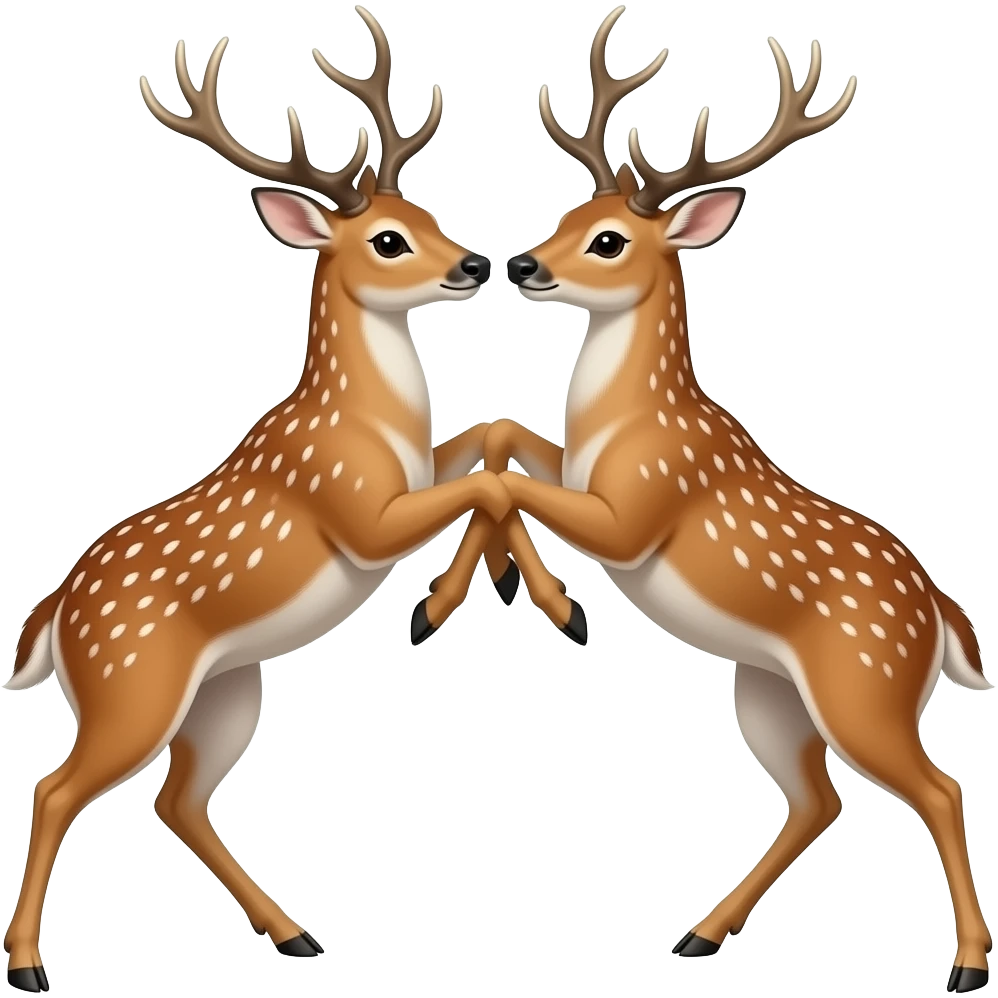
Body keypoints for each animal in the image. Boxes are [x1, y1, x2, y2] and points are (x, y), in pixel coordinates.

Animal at [1, 9, 515, 992]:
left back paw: (295, 933)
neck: (362, 420)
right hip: (131, 685)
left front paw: (494, 584)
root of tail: (55, 615)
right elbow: (485, 475)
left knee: (177, 800)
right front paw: (437, 607)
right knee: (57, 787)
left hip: (227, 690)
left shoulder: (415, 475)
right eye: (387, 240)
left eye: (424, 216)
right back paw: (26, 966)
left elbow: (490, 438)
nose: (477, 263)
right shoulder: (357, 513)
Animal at [422, 9, 993, 993]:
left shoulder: (639, 515)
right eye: (571, 216)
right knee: (818, 800)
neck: (638, 419)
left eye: (611, 240)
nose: (519, 263)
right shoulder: (580, 474)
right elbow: (502, 436)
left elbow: (506, 471)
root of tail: (937, 616)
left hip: (866, 686)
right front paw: (491, 582)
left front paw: (552, 605)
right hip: (768, 689)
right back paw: (700, 933)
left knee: (938, 788)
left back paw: (969, 964)